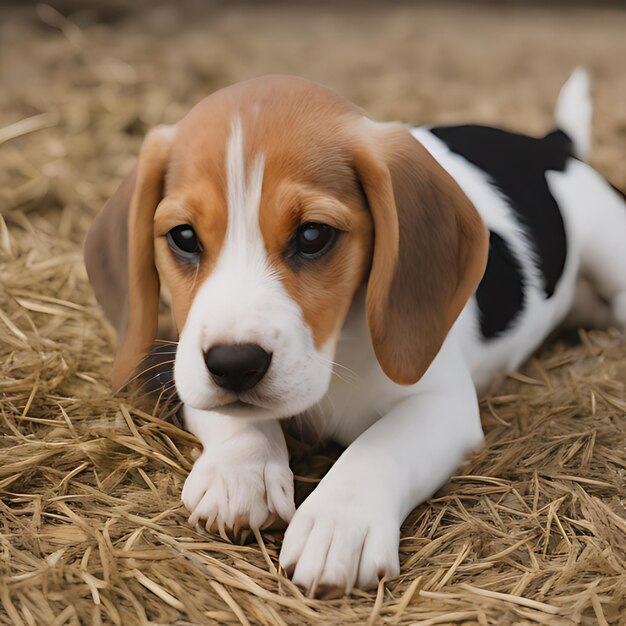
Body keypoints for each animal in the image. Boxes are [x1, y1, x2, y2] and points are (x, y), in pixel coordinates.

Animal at [84, 69, 624, 596]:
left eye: (312, 235)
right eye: (184, 237)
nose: (234, 365)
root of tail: (548, 145)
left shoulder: (442, 403)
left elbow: (379, 446)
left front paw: (339, 522)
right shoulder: (179, 367)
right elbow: (231, 416)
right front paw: (241, 471)